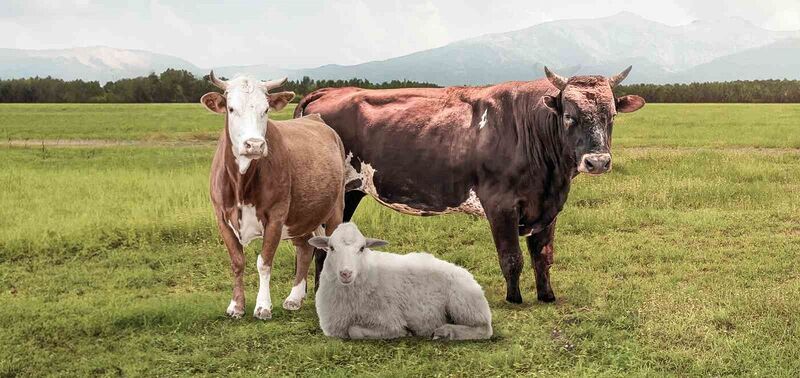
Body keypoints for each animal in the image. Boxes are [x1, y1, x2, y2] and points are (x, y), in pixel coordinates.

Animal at [202, 71, 346, 318]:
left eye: (266, 109)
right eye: (231, 108)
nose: (254, 145)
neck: (241, 183)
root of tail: (316, 118)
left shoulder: (276, 216)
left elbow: (264, 261)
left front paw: (263, 306)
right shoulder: (221, 217)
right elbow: (237, 261)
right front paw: (236, 306)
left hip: (336, 208)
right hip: (302, 215)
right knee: (305, 247)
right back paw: (294, 298)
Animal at [308, 223, 490, 342]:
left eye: (362, 248)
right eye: (331, 247)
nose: (346, 273)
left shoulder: (389, 320)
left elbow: (354, 331)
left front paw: (406, 333)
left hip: (463, 302)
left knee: (484, 329)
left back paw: (446, 332)